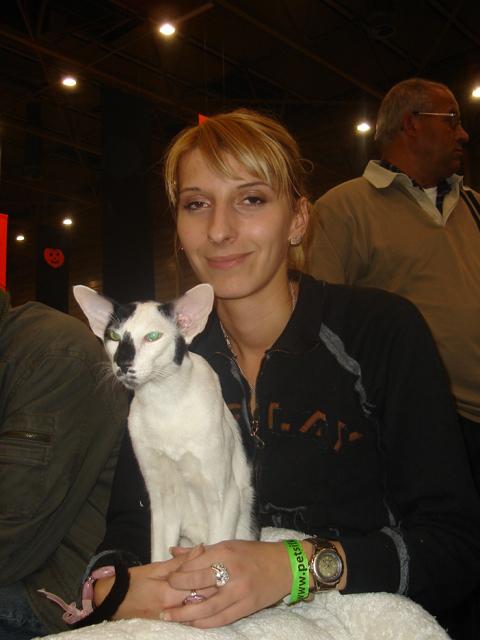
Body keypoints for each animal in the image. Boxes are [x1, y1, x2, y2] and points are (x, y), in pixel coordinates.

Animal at [73, 283, 255, 561]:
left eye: (152, 336)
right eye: (114, 336)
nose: (122, 363)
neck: (166, 404)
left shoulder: (224, 495)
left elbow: (216, 553)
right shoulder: (161, 499)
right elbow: (158, 557)